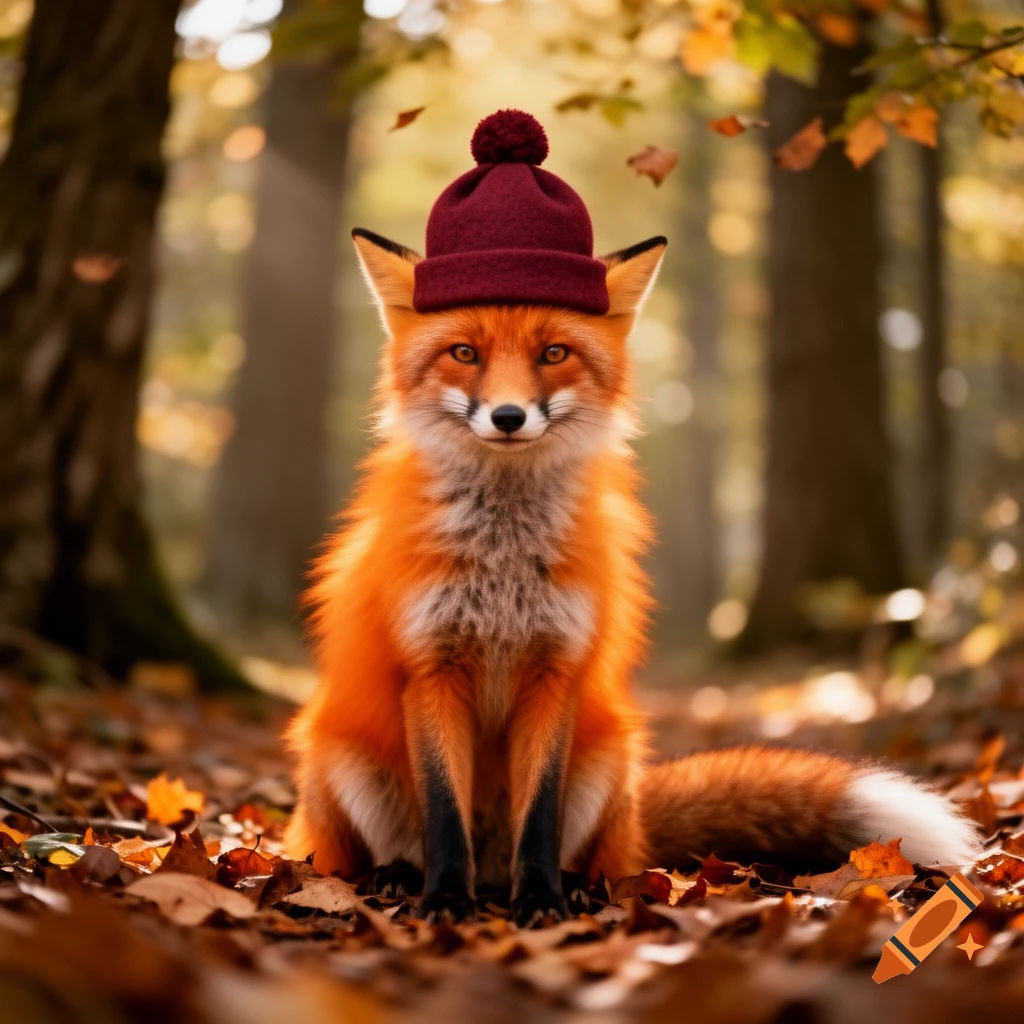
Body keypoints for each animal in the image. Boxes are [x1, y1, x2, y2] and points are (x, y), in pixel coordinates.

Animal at [283, 226, 979, 927]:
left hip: (609, 757)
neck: (504, 562)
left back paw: (575, 886)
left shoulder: (556, 670)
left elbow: (540, 813)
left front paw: (541, 898)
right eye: (464, 353)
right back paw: (400, 877)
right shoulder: (430, 669)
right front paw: (446, 899)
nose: (508, 416)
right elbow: (445, 815)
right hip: (343, 759)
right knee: (383, 850)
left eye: (554, 353)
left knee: (592, 857)